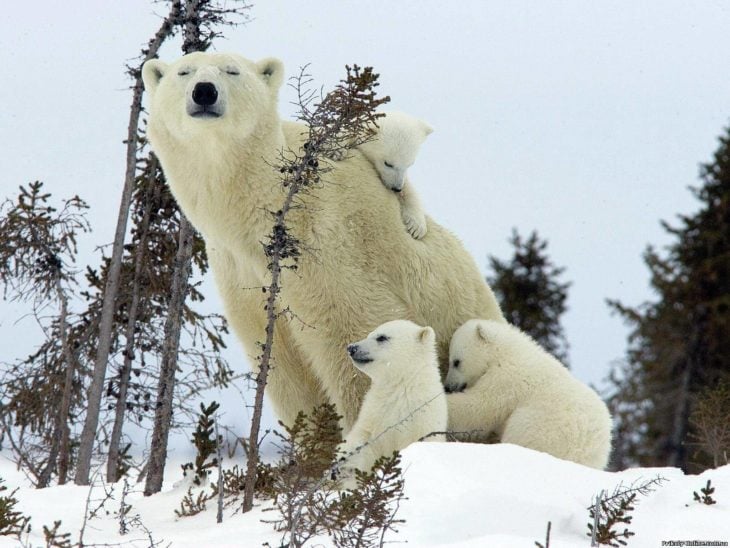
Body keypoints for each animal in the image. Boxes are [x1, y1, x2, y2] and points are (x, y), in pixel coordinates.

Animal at [144, 50, 500, 428]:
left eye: (232, 71)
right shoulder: (241, 274)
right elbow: (285, 371)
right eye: (184, 72)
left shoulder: (328, 247)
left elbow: (356, 340)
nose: (204, 92)